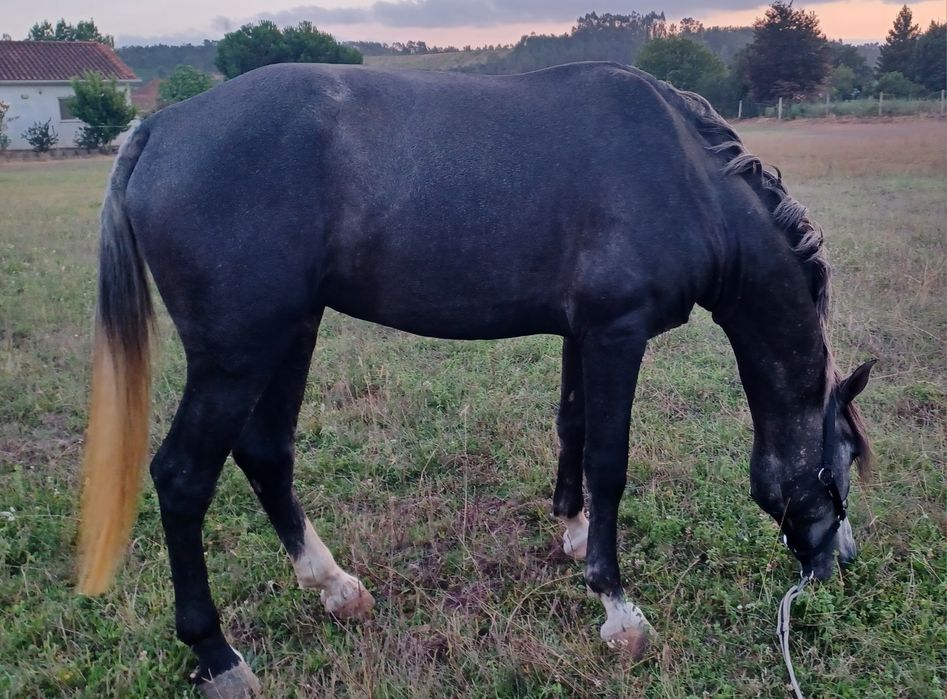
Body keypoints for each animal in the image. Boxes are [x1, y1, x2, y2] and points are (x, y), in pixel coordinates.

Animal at [76, 62, 874, 696]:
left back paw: (334, 587)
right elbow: (609, 461)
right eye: (837, 469)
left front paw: (574, 531)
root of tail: (161, 127)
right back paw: (217, 654)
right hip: (237, 353)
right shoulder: (617, 334)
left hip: (290, 331)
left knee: (267, 454)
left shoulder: (582, 332)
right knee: (183, 478)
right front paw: (617, 608)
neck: (685, 179)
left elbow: (572, 428)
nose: (837, 562)